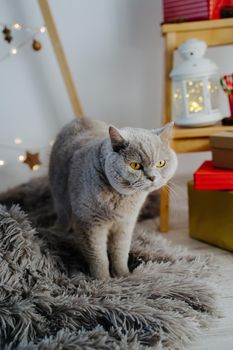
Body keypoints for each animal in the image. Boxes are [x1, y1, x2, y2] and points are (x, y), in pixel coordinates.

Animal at [48, 119, 177, 280]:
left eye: (160, 163)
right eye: (135, 165)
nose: (152, 177)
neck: (122, 200)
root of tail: (79, 119)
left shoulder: (125, 224)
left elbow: (120, 252)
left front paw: (123, 276)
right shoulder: (90, 225)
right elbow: (98, 257)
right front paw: (103, 280)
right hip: (60, 196)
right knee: (63, 215)